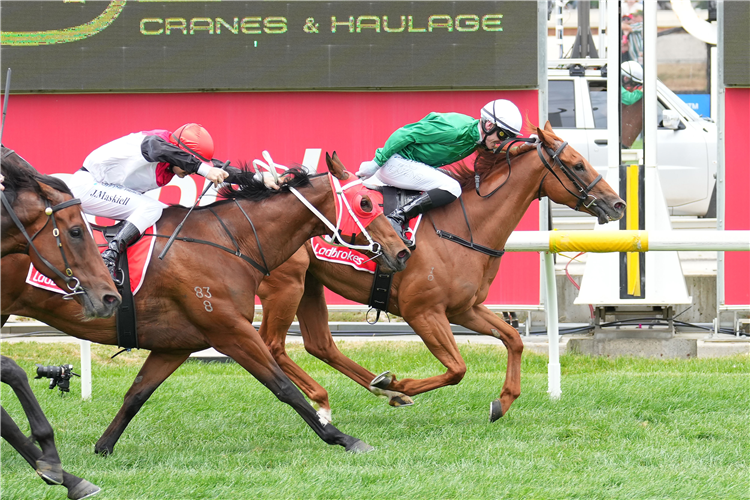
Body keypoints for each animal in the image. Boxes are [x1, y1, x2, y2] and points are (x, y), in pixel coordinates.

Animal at [0, 151, 412, 458]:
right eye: (365, 202)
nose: (403, 251)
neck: (228, 241)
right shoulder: (230, 331)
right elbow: (283, 387)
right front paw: (343, 438)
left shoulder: (176, 344)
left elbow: (136, 394)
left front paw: (103, 447)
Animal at [258, 121, 628, 422]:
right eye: (578, 164)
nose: (619, 204)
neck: (464, 229)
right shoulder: (422, 311)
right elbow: (457, 369)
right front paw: (400, 384)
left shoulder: (465, 308)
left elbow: (513, 340)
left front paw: (503, 401)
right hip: (286, 285)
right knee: (272, 344)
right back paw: (343, 395)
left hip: (309, 283)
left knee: (320, 344)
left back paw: (372, 389)